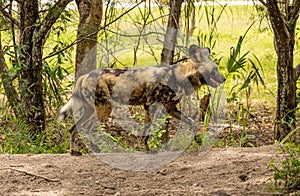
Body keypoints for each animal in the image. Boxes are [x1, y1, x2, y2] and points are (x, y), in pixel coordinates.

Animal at [57, 44, 225, 155]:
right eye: (214, 70)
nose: (223, 79)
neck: (181, 76)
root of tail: (85, 76)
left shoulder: (170, 109)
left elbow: (191, 123)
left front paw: (198, 140)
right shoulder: (152, 107)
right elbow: (148, 132)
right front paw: (148, 150)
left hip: (92, 109)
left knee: (74, 128)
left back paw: (75, 152)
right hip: (104, 109)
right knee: (86, 127)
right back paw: (95, 150)